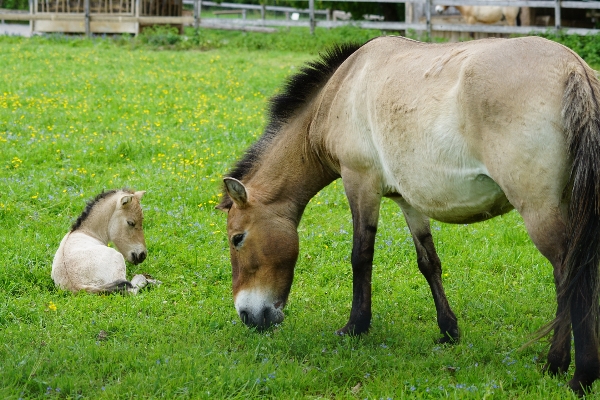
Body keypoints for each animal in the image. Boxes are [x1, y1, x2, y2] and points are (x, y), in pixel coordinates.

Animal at [218, 36, 600, 394]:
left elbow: (361, 256)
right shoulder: (408, 201)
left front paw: (355, 327)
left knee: (569, 278)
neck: (342, 88)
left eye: (237, 239)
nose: (247, 316)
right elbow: (428, 262)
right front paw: (448, 330)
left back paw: (570, 371)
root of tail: (573, 67)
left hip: (539, 211)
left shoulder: (360, 184)